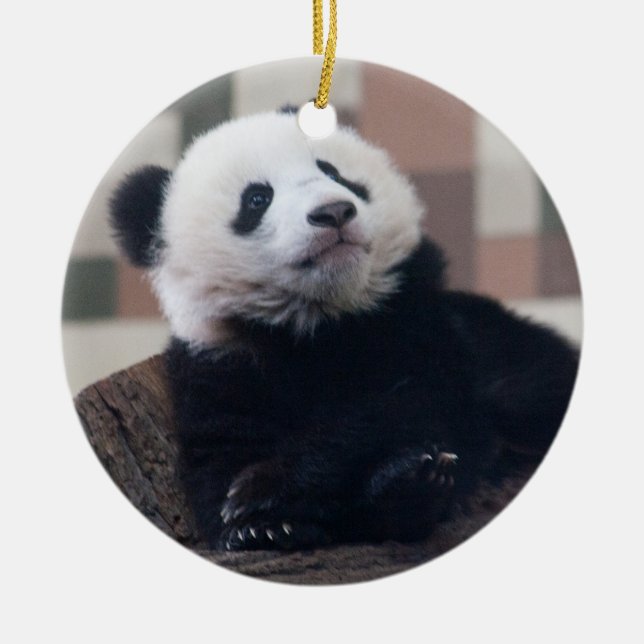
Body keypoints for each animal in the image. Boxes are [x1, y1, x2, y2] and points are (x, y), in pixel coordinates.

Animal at [110, 109, 579, 551]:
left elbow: (406, 403)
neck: (318, 321)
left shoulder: (416, 319)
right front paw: (256, 527)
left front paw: (265, 488)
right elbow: (218, 452)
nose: (334, 212)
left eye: (334, 173)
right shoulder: (221, 359)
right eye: (257, 198)